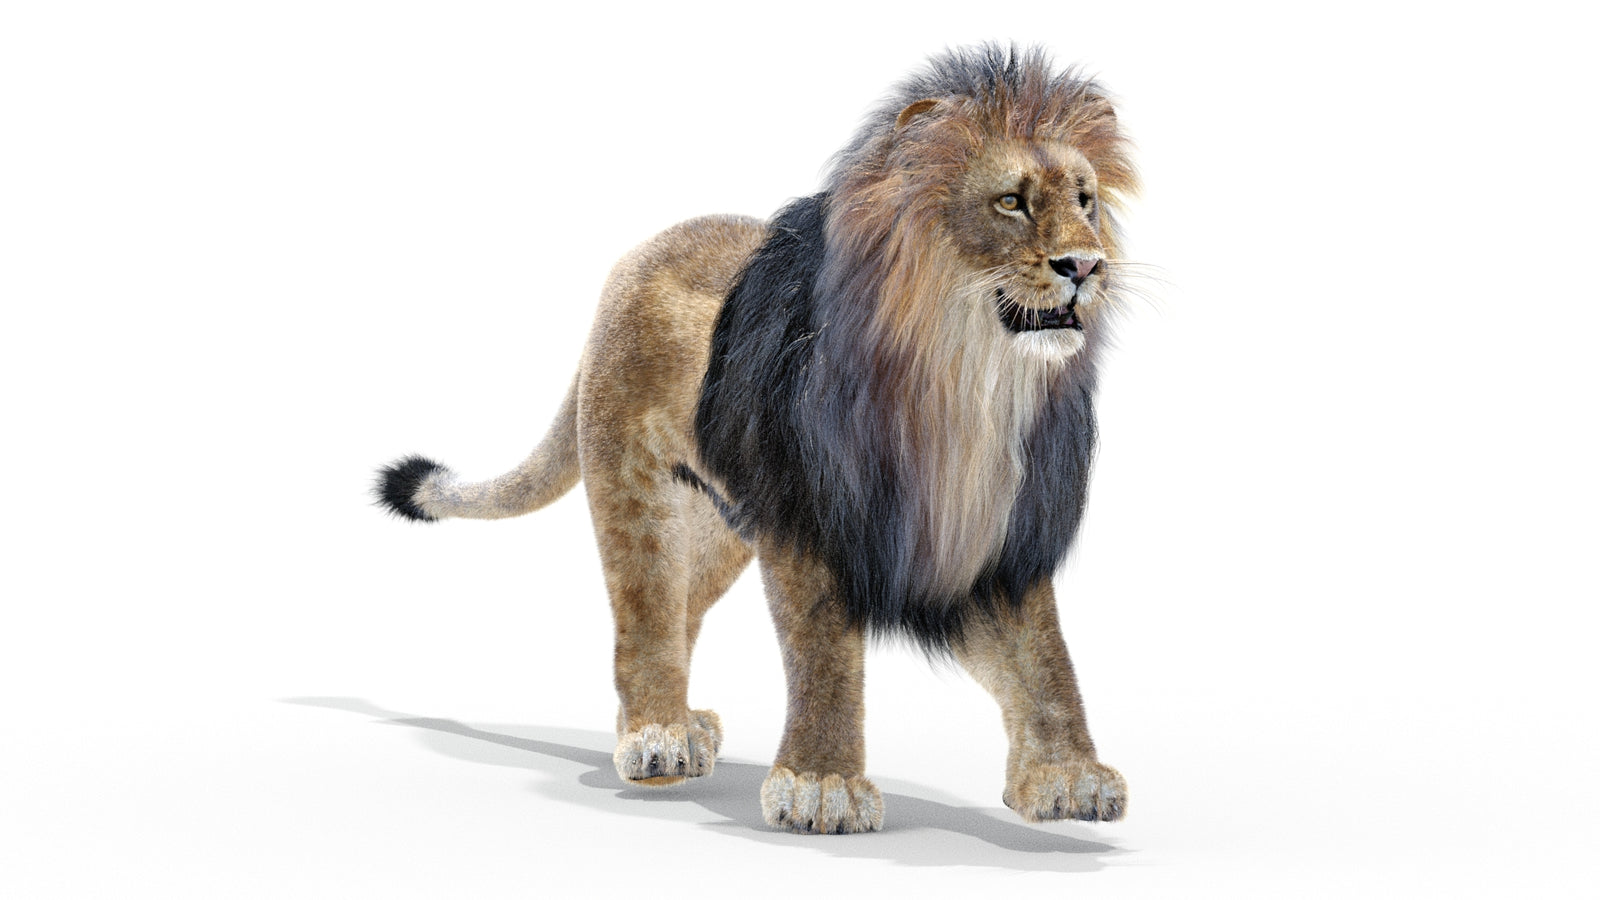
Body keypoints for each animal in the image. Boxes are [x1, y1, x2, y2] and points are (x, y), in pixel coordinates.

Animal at [376, 44, 1140, 834]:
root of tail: (638, 254)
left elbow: (1044, 659)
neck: (970, 384)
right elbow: (824, 654)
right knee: (646, 613)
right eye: (1012, 202)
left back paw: (672, 724)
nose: (1086, 265)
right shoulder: (814, 521)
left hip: (724, 523)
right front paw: (822, 784)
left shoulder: (995, 534)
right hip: (635, 491)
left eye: (1084, 200)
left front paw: (1069, 775)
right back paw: (656, 735)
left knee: (681, 607)